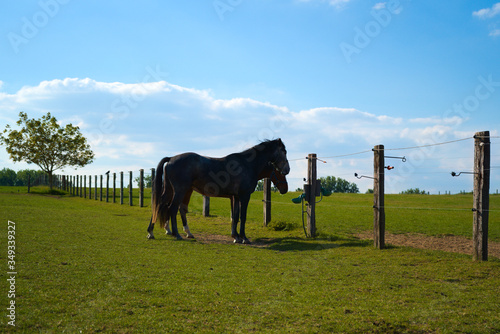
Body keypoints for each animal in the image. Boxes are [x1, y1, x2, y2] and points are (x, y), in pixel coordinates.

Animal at [146, 138, 290, 243]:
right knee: (173, 208)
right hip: (180, 191)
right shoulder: (244, 196)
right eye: (284, 151)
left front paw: (236, 237)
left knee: (160, 205)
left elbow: (235, 217)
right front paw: (244, 238)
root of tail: (171, 158)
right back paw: (177, 234)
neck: (247, 164)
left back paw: (151, 232)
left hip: (170, 191)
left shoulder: (235, 197)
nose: (287, 170)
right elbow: (242, 217)